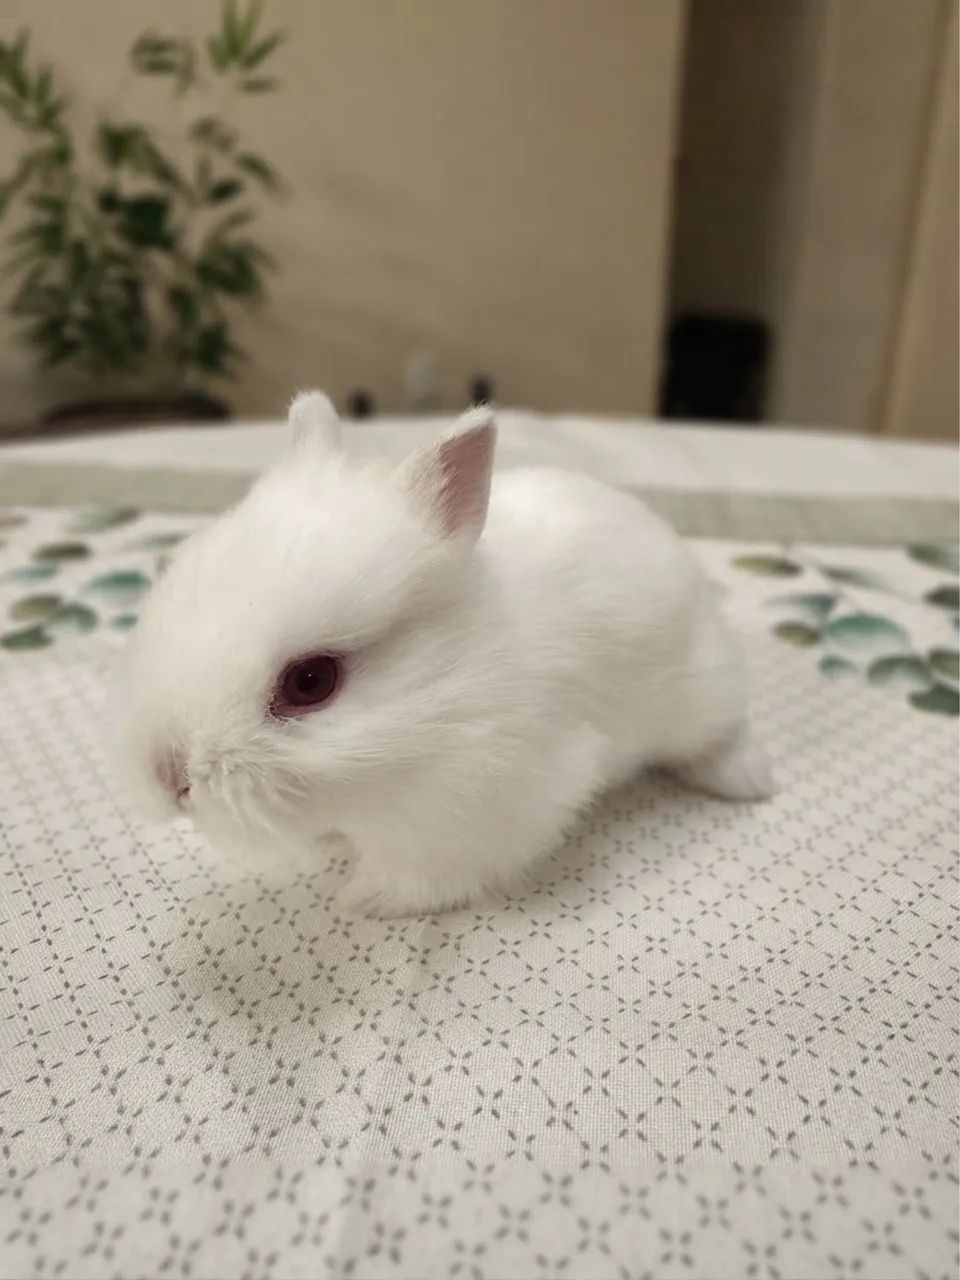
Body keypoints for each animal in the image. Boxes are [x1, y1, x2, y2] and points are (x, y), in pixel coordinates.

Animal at [120, 391, 773, 917]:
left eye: (311, 681)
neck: (443, 697)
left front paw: (365, 899)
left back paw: (749, 782)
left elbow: (425, 880)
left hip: (701, 694)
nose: (167, 778)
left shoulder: (479, 818)